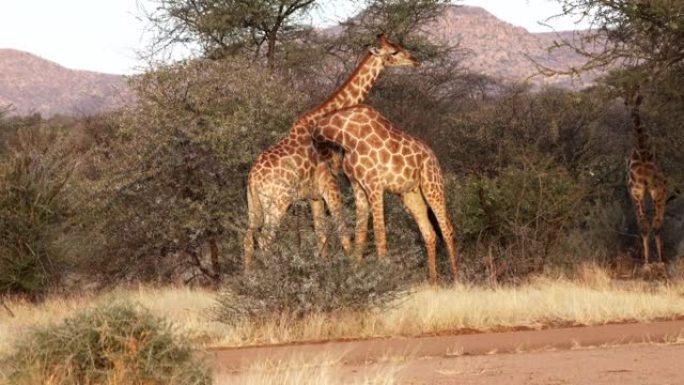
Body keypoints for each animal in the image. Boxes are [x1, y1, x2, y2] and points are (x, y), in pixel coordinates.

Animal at [243, 35, 420, 268]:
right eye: (393, 52)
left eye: (399, 47)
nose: (416, 60)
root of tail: (253, 178)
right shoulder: (331, 185)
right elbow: (343, 234)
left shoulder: (314, 196)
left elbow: (322, 237)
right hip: (278, 202)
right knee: (264, 239)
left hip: (253, 203)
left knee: (248, 239)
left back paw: (249, 274)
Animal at [312, 103, 456, 284]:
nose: (336, 168)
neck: (345, 134)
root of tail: (434, 158)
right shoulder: (358, 187)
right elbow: (360, 234)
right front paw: (356, 272)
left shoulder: (374, 185)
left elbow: (379, 232)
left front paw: (383, 274)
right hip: (411, 195)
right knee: (429, 233)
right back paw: (433, 284)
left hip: (432, 184)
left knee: (446, 228)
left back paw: (457, 281)